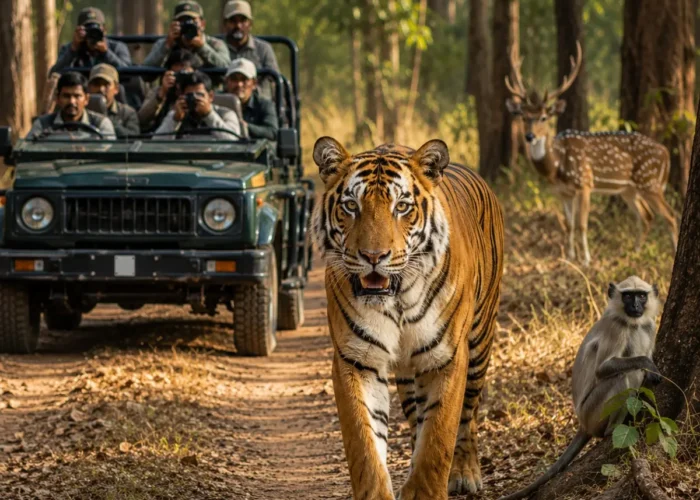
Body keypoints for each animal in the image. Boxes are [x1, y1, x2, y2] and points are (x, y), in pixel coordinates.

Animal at [311, 136, 505, 500]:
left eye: (401, 207)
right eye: (351, 206)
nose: (373, 256)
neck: (397, 299)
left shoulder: (446, 357)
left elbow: (439, 437)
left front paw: (427, 490)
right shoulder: (356, 359)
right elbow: (364, 444)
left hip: (479, 343)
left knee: (468, 416)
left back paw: (465, 473)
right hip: (408, 373)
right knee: (416, 419)